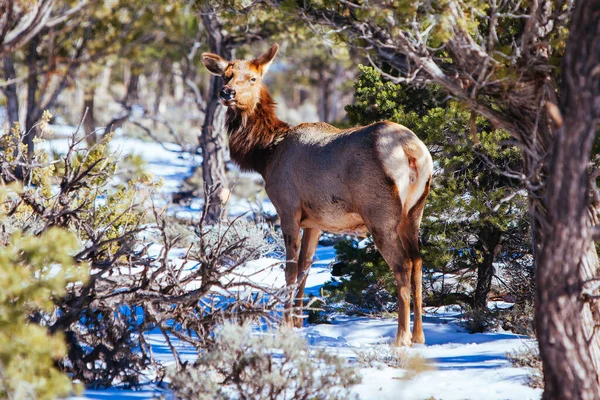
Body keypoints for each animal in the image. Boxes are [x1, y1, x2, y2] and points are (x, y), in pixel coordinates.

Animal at [202, 43, 432, 344]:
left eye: (253, 78)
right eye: (226, 75)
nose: (227, 93)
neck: (266, 154)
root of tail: (412, 153)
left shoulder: (287, 207)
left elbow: (289, 269)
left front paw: (285, 325)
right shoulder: (314, 221)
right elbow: (305, 268)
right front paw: (299, 323)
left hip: (380, 214)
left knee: (402, 264)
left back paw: (401, 338)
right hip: (415, 211)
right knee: (417, 261)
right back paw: (419, 336)